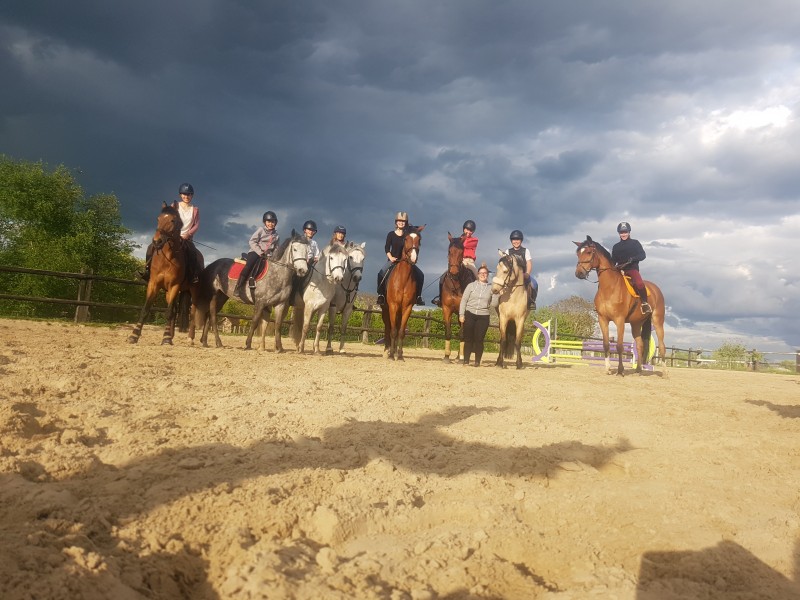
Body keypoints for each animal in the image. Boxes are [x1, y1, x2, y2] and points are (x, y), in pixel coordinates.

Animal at [127, 202, 203, 344]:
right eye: (158, 219)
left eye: (173, 220)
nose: (157, 241)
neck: (167, 257)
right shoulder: (153, 284)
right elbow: (146, 310)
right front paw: (134, 336)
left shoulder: (174, 286)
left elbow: (168, 312)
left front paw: (166, 338)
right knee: (174, 310)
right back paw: (172, 334)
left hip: (193, 290)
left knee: (192, 312)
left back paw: (190, 338)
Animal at [382, 223, 424, 358]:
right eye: (406, 239)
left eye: (419, 239)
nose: (413, 258)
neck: (403, 279)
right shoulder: (393, 306)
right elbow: (393, 330)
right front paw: (391, 354)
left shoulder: (407, 307)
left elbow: (401, 331)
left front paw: (399, 355)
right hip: (386, 308)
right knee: (388, 327)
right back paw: (387, 350)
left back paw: (394, 350)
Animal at [438, 233, 476, 366]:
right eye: (449, 251)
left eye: (462, 252)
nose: (454, 272)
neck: (455, 283)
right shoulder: (446, 309)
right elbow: (448, 332)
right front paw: (446, 356)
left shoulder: (463, 311)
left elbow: (462, 334)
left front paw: (461, 358)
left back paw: (461, 356)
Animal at [576, 234, 668, 376]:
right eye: (578, 254)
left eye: (589, 252)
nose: (579, 273)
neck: (610, 287)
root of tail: (656, 289)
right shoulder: (603, 319)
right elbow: (606, 345)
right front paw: (608, 369)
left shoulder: (619, 320)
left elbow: (619, 346)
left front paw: (620, 370)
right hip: (636, 323)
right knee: (640, 344)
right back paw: (639, 370)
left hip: (657, 321)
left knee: (662, 346)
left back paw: (664, 372)